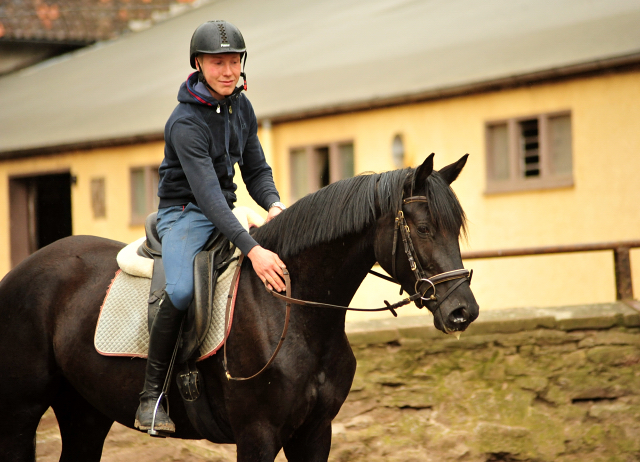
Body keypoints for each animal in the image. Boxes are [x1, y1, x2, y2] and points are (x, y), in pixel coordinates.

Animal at [0, 153, 476, 460]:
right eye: (424, 228)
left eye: (455, 228)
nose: (463, 312)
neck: (293, 311)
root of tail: (20, 273)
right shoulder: (257, 435)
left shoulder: (315, 433)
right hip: (21, 413)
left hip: (85, 413)